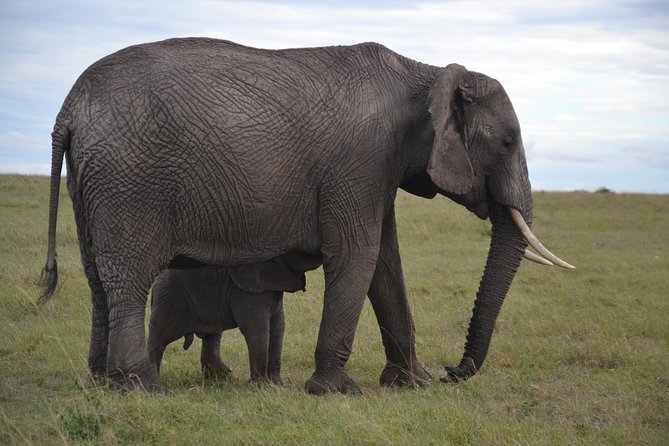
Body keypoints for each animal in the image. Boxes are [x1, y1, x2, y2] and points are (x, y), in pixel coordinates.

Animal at [149, 253, 320, 386]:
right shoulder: (245, 288)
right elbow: (256, 328)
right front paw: (261, 387)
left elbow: (278, 326)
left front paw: (277, 384)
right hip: (170, 299)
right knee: (159, 338)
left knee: (213, 335)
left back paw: (221, 375)